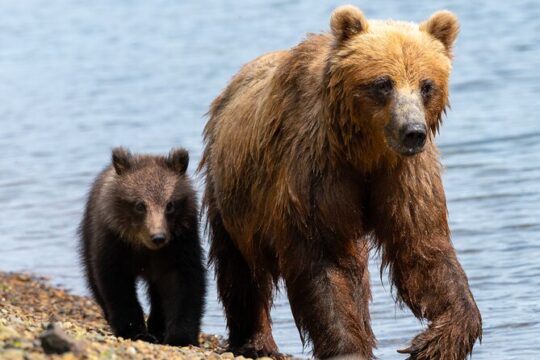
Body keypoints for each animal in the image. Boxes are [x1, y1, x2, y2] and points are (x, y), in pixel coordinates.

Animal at [200, 5, 484, 360]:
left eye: (426, 85)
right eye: (383, 83)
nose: (413, 131)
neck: (365, 153)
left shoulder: (404, 175)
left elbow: (421, 248)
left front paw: (438, 339)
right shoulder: (318, 172)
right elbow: (326, 259)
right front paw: (348, 347)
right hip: (233, 193)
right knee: (239, 267)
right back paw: (256, 340)